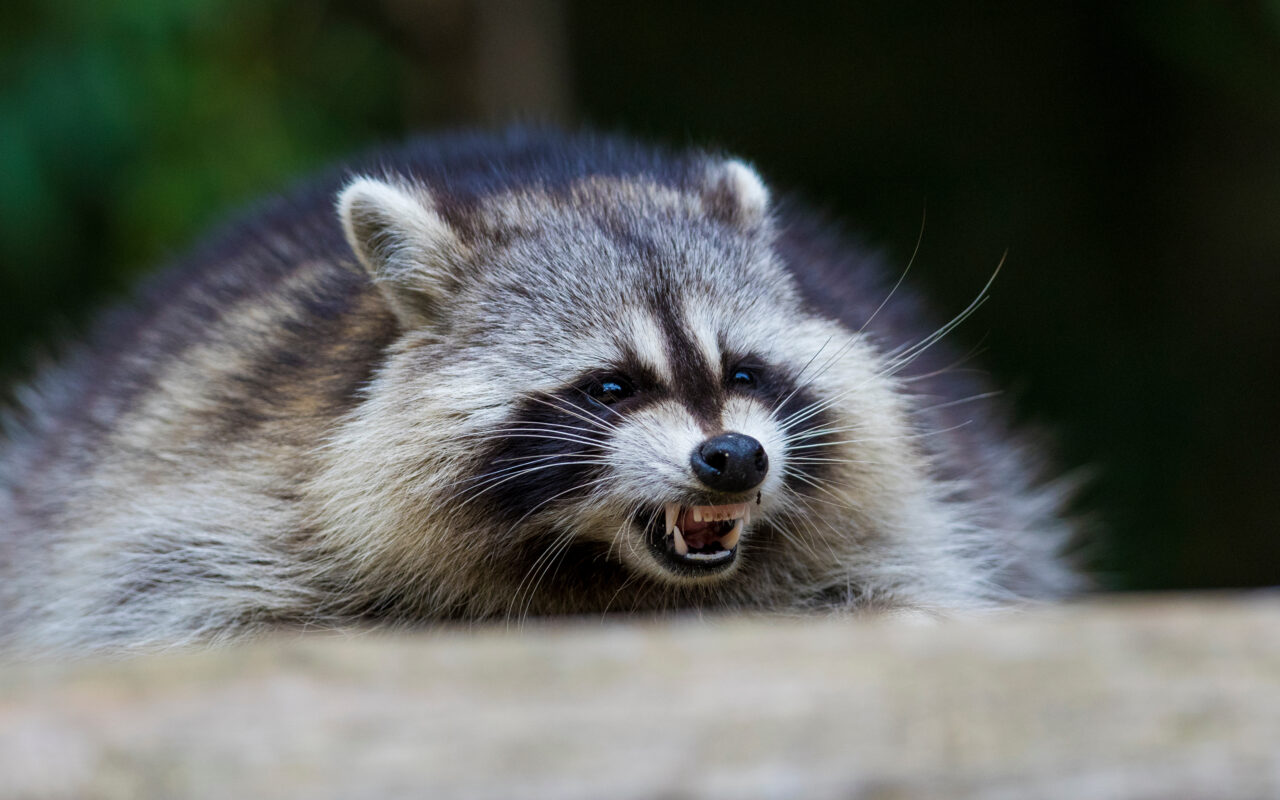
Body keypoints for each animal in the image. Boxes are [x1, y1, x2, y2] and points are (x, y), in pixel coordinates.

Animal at [0, 128, 1079, 655]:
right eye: (610, 385)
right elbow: (171, 606)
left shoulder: (916, 512)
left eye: (741, 371)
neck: (606, 571)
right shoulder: (223, 475)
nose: (733, 457)